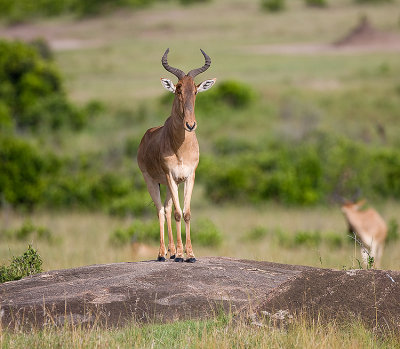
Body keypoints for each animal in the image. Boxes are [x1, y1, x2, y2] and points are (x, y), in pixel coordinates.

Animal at [137, 48, 216, 260]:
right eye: (178, 89)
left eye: (195, 90)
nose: (190, 124)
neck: (180, 147)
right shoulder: (170, 176)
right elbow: (177, 214)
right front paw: (181, 255)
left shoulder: (189, 177)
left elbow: (186, 213)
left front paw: (190, 254)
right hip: (152, 181)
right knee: (160, 211)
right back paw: (162, 253)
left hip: (170, 185)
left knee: (166, 207)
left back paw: (171, 251)